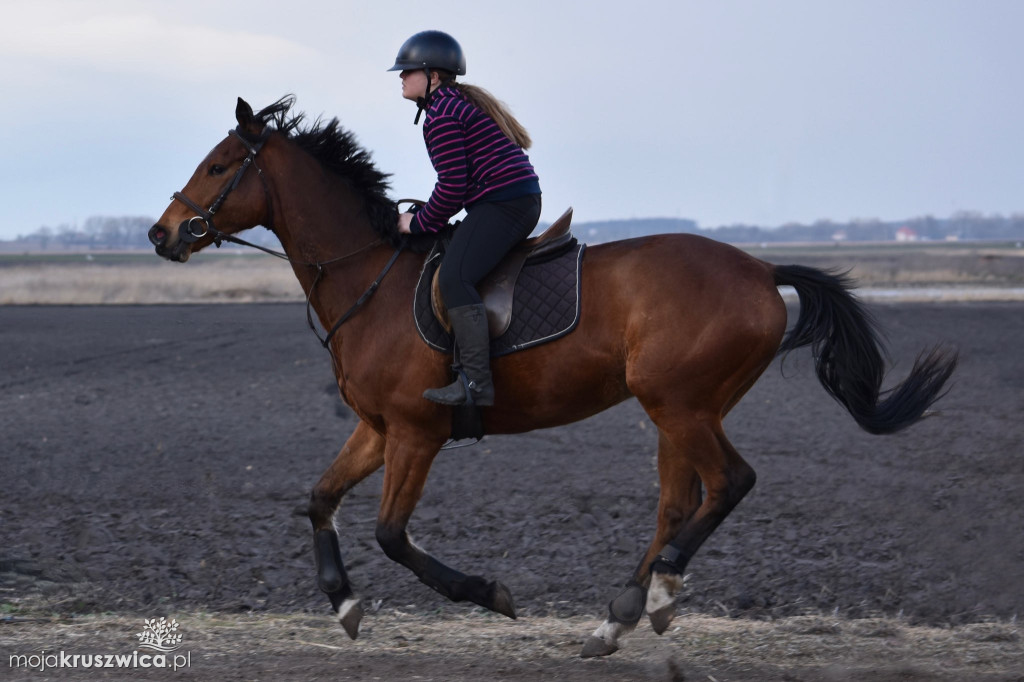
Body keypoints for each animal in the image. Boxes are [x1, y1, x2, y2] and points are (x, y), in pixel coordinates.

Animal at [148, 95, 954, 655]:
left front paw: (489, 594)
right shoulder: (376, 430)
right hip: (679, 408)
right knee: (677, 504)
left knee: (729, 483)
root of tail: (759, 268)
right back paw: (620, 618)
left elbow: (391, 534)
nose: (161, 234)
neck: (367, 278)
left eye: (218, 166)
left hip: (681, 405)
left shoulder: (416, 433)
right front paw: (343, 605)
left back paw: (652, 598)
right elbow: (318, 501)